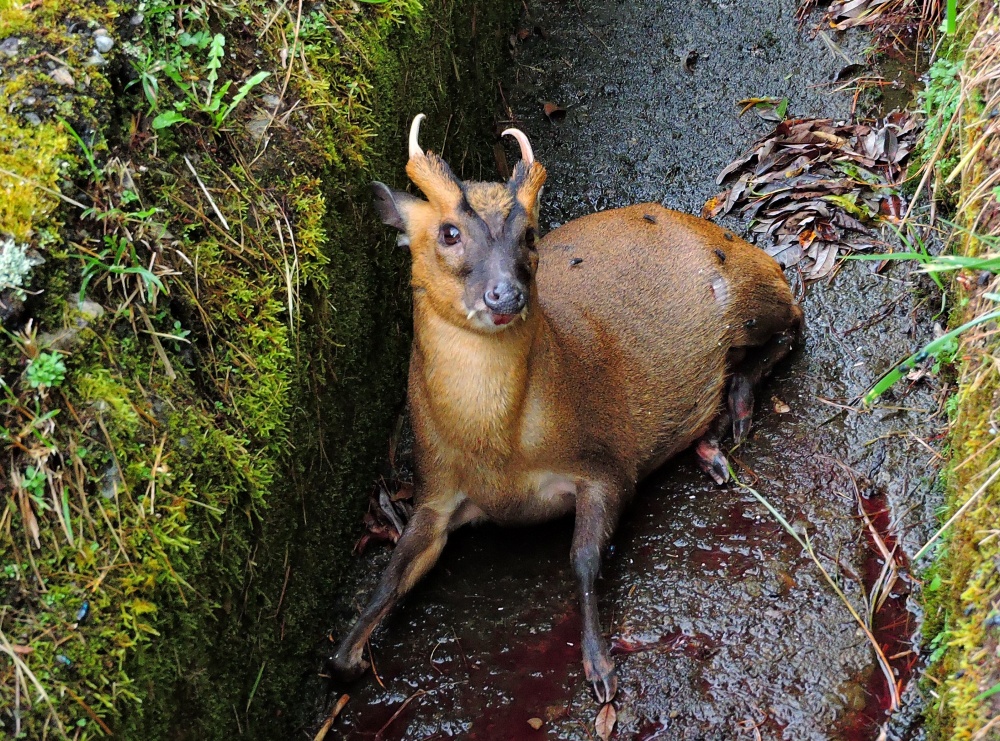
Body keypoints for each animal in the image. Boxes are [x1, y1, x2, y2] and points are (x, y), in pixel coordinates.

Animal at [332, 114, 800, 700]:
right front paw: (347, 656)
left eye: (529, 234)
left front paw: (599, 665)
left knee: (795, 318)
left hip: (748, 288)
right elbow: (391, 574)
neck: (500, 455)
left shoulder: (605, 458)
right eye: (449, 232)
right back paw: (711, 443)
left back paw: (733, 410)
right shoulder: (434, 487)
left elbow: (582, 559)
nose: (505, 296)